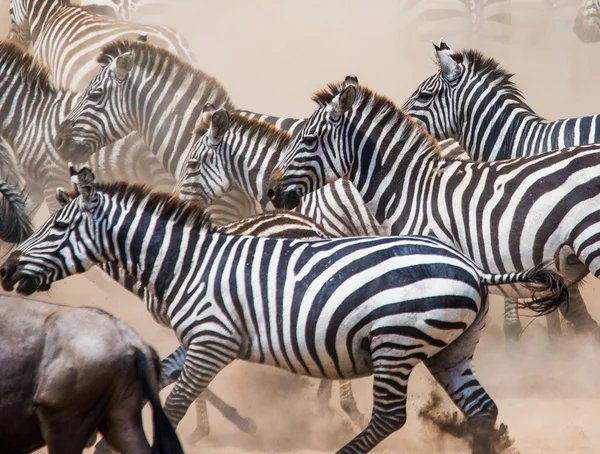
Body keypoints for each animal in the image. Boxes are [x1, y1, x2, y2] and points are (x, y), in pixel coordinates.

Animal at [0, 165, 568, 452]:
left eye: (57, 228)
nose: (6, 271)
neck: (185, 264)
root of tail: (472, 268)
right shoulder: (197, 342)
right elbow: (158, 381)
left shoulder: (214, 341)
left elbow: (178, 403)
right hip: (451, 349)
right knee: (482, 411)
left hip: (397, 342)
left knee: (389, 416)